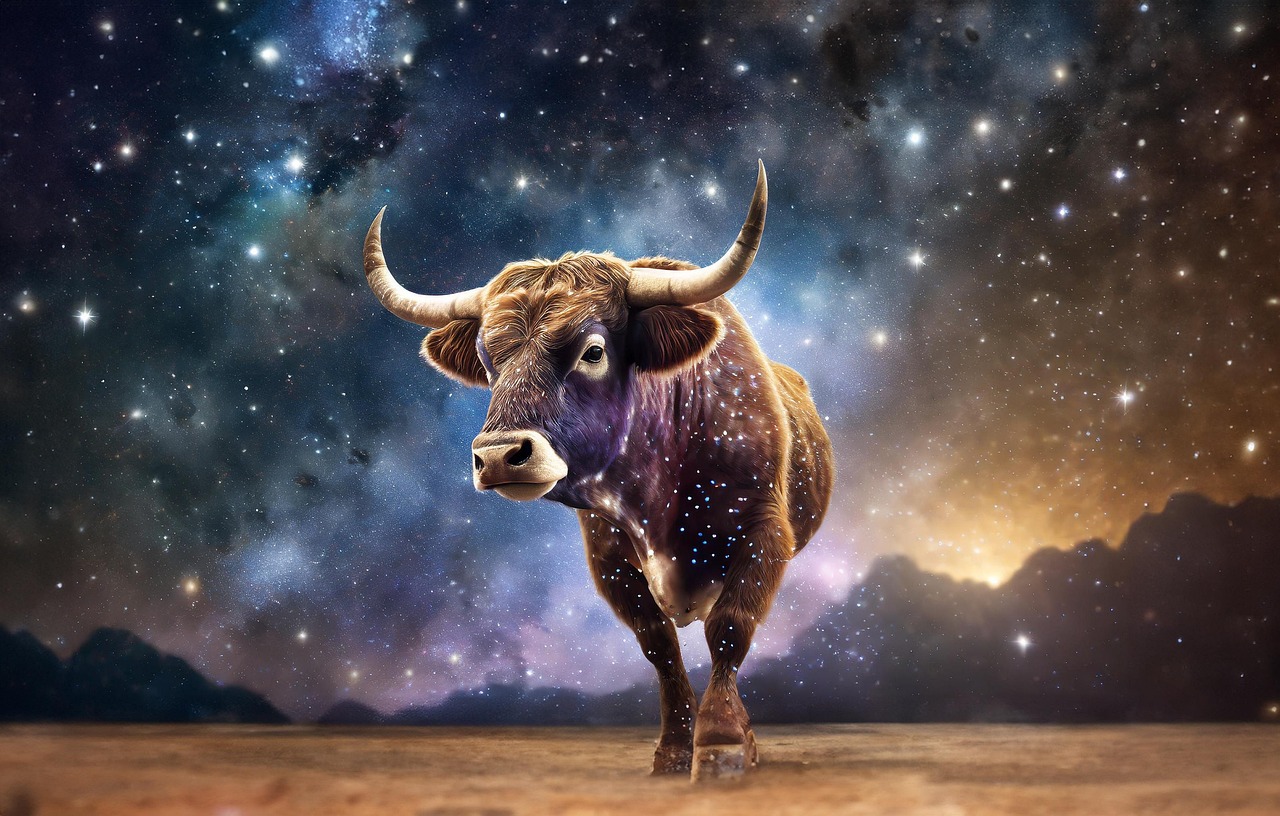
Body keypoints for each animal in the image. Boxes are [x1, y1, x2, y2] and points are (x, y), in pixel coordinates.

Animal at [362, 161, 833, 780]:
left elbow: (730, 627)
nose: (498, 455)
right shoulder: (607, 555)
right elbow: (658, 643)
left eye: (592, 351)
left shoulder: (765, 531)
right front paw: (675, 748)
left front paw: (722, 743)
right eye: (488, 361)